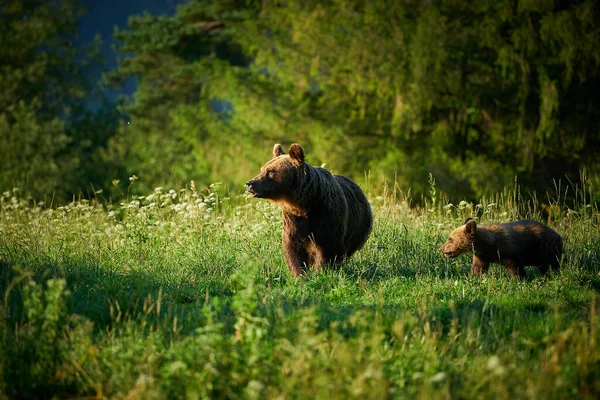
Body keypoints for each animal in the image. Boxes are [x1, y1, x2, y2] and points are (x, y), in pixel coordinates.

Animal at [246, 144, 372, 278]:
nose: (250, 183)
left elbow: (329, 247)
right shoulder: (293, 219)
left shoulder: (327, 214)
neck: (305, 204)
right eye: (262, 169)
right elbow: (294, 248)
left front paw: (322, 271)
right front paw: (300, 274)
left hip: (358, 225)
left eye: (270, 171)